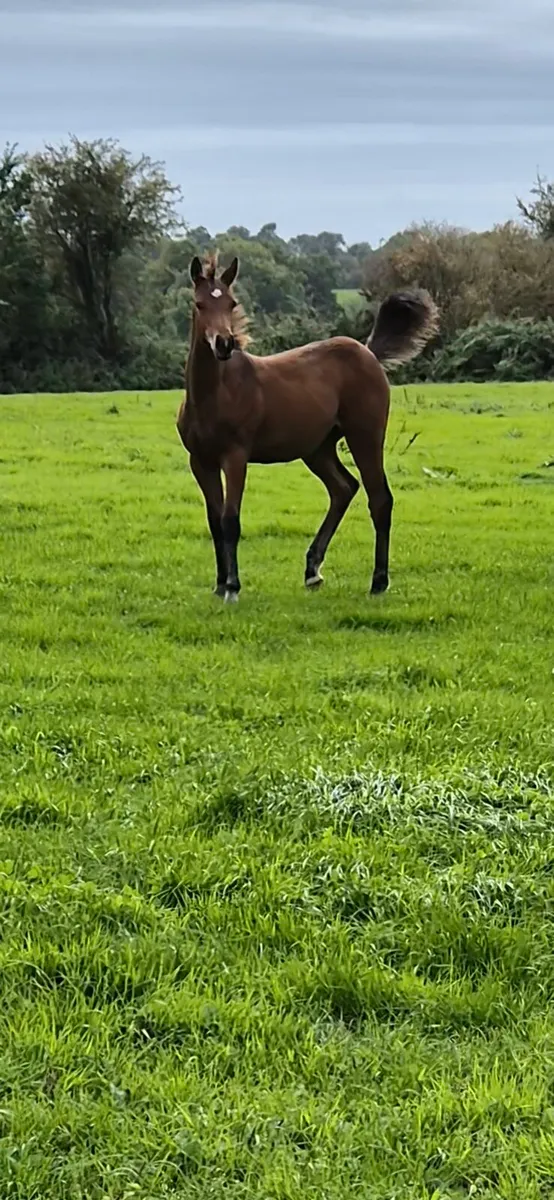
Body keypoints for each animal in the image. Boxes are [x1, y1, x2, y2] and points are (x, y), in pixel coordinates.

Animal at [176, 252, 438, 603]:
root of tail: (368, 352)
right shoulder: (201, 461)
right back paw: (313, 570)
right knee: (344, 488)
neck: (215, 394)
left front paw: (233, 587)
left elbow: (230, 519)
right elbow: (214, 521)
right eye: (200, 303)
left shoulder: (235, 457)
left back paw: (378, 582)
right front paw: (220, 585)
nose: (224, 344)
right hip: (318, 448)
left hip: (365, 436)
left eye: (231, 303)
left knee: (379, 499)